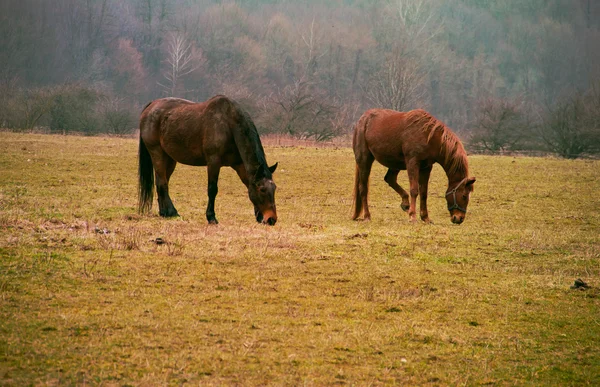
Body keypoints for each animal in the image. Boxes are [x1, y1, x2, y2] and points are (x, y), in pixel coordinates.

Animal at [137, 95, 278, 226]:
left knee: (161, 181)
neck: (228, 124)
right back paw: (172, 212)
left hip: (169, 159)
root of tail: (151, 106)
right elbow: (212, 189)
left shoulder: (239, 165)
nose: (271, 219)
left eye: (274, 188)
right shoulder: (213, 162)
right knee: (162, 183)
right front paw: (211, 217)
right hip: (157, 153)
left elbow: (248, 184)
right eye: (262, 190)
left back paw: (164, 212)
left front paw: (259, 216)